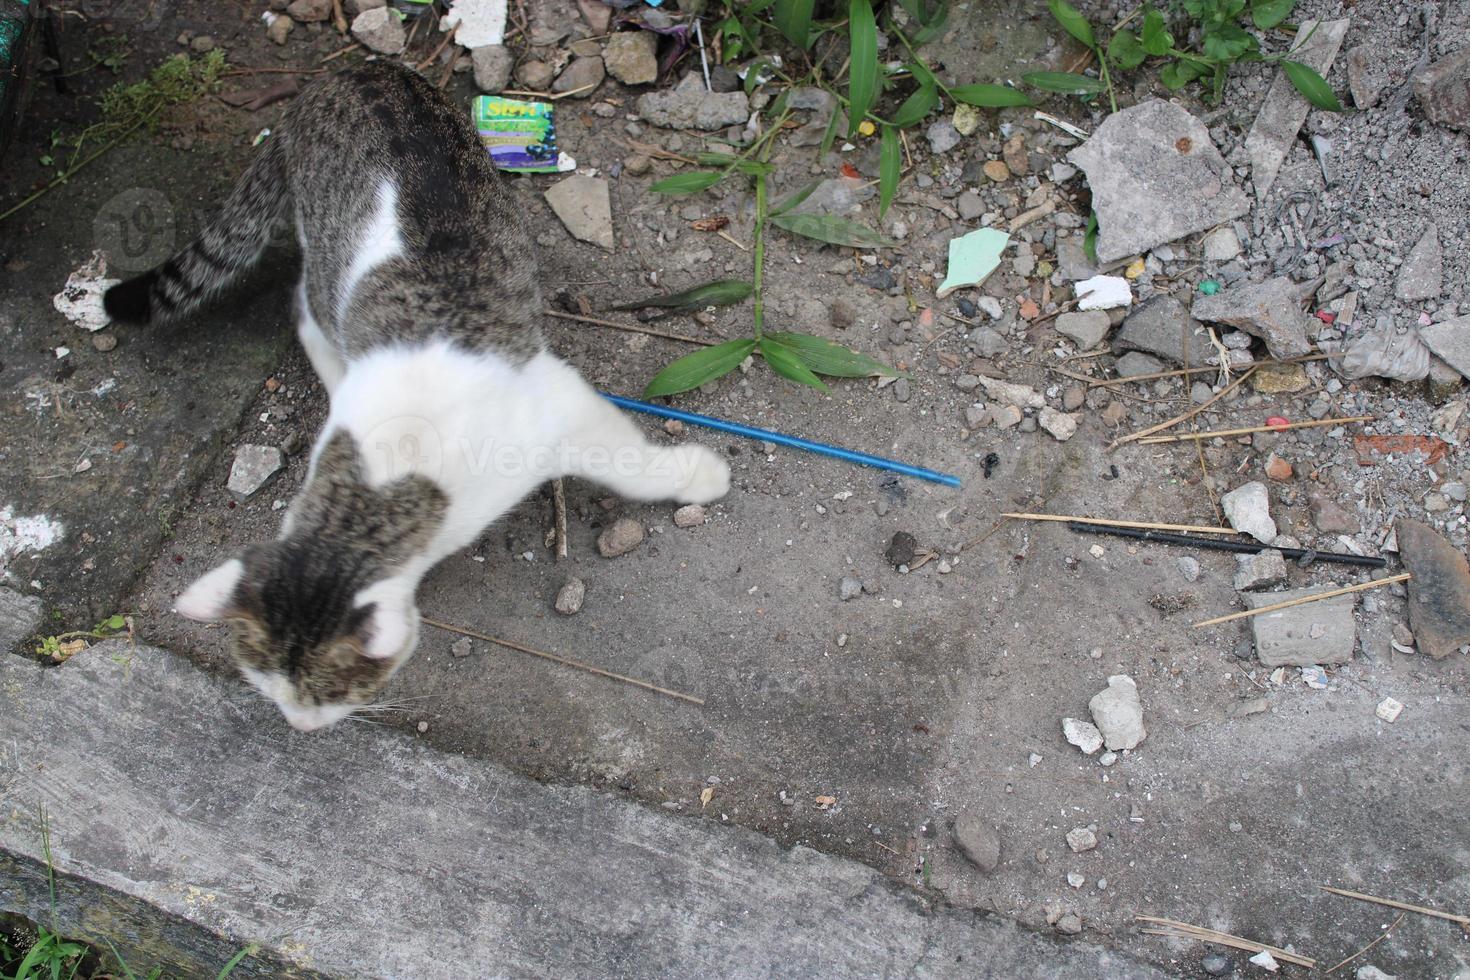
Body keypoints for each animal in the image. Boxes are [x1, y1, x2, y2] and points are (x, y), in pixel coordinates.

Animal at [100, 61, 732, 731]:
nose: (300, 726)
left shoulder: (552, 407)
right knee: (309, 305)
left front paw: (697, 476)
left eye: (332, 692)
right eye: (268, 686)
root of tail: (345, 73)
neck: (374, 493)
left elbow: (629, 463)